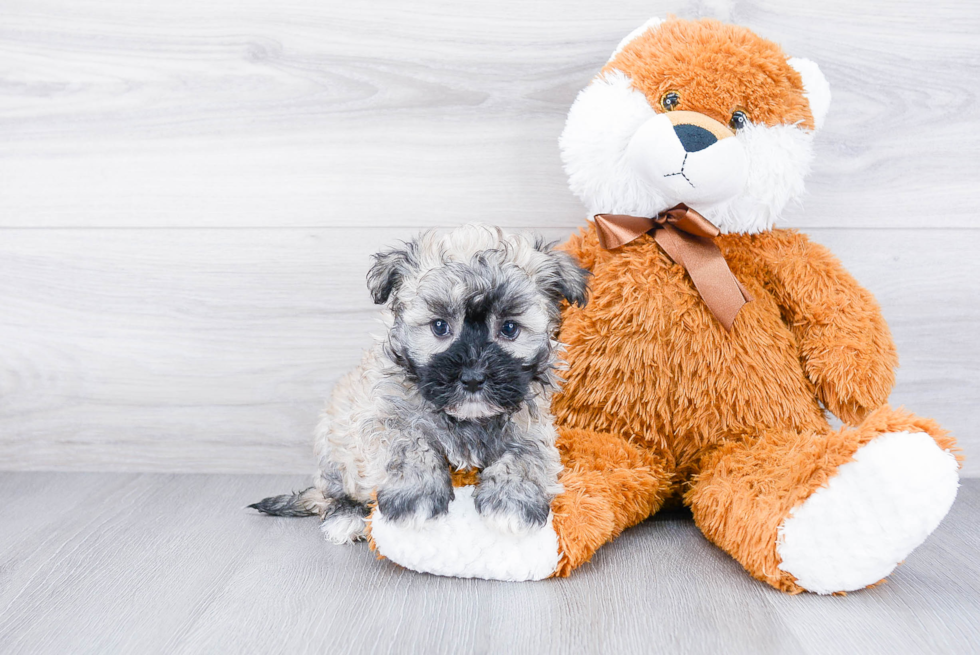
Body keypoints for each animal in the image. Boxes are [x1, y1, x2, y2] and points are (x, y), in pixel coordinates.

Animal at [253, 226, 588, 544]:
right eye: (439, 326)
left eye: (508, 328)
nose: (473, 377)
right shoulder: (384, 416)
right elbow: (410, 445)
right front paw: (415, 497)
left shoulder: (532, 426)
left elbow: (525, 456)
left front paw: (512, 503)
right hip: (335, 443)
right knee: (333, 491)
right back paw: (346, 516)